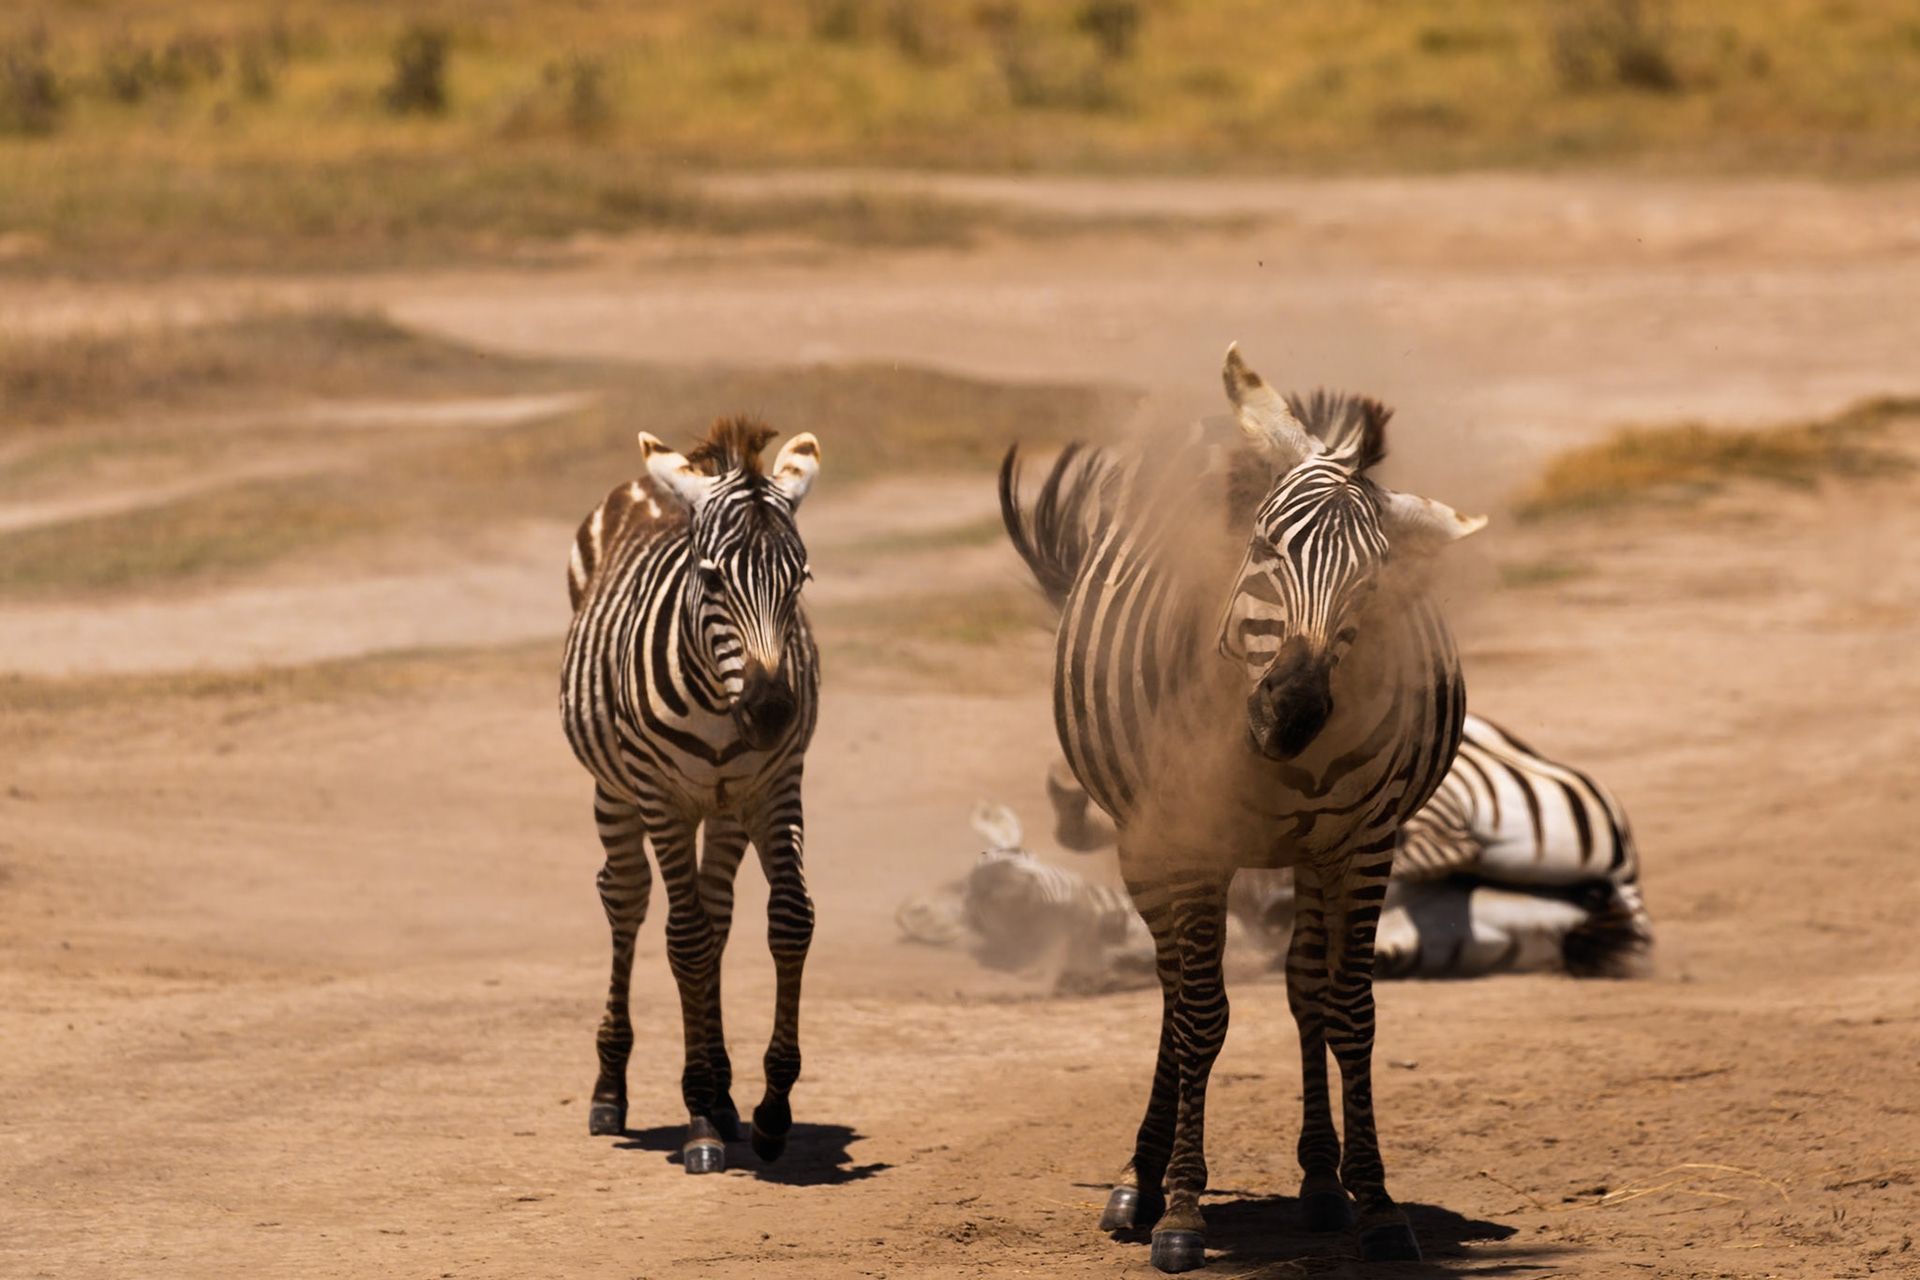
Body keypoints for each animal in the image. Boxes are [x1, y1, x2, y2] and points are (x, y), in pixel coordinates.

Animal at [560, 416, 821, 1176]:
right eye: (710, 578)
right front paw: (700, 1115)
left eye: (801, 579)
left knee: (720, 913)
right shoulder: (662, 797)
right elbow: (685, 940)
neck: (719, 702)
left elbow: (788, 921)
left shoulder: (775, 785)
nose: (771, 713)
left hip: (725, 808)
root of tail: (658, 481)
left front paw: (769, 1111)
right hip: (614, 790)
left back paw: (730, 1097)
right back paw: (611, 1090)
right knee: (628, 898)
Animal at [1000, 345, 1484, 1269]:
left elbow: (1350, 1010)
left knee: (1303, 988)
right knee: (1173, 990)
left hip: (1307, 855)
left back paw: (1321, 1183)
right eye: (1262, 546)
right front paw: (1182, 1210)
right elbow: (1201, 1015)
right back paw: (1139, 1182)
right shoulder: (1194, 843)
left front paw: (1376, 1202)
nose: (1288, 713)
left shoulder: (1365, 843)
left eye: (1375, 582)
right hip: (1146, 844)